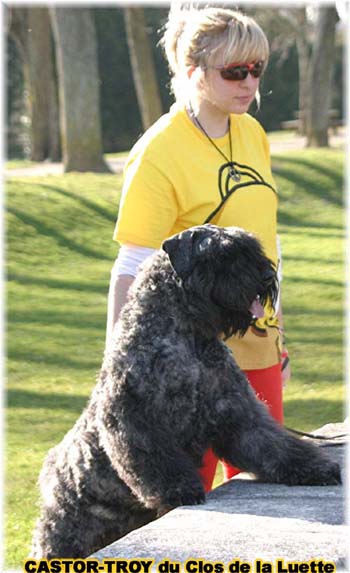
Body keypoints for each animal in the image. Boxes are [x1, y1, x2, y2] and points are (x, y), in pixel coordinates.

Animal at [31, 225, 340, 560]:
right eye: (222, 254)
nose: (267, 276)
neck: (190, 338)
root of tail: (50, 472)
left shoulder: (239, 413)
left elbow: (272, 444)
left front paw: (315, 468)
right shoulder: (135, 418)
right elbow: (154, 456)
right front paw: (181, 490)